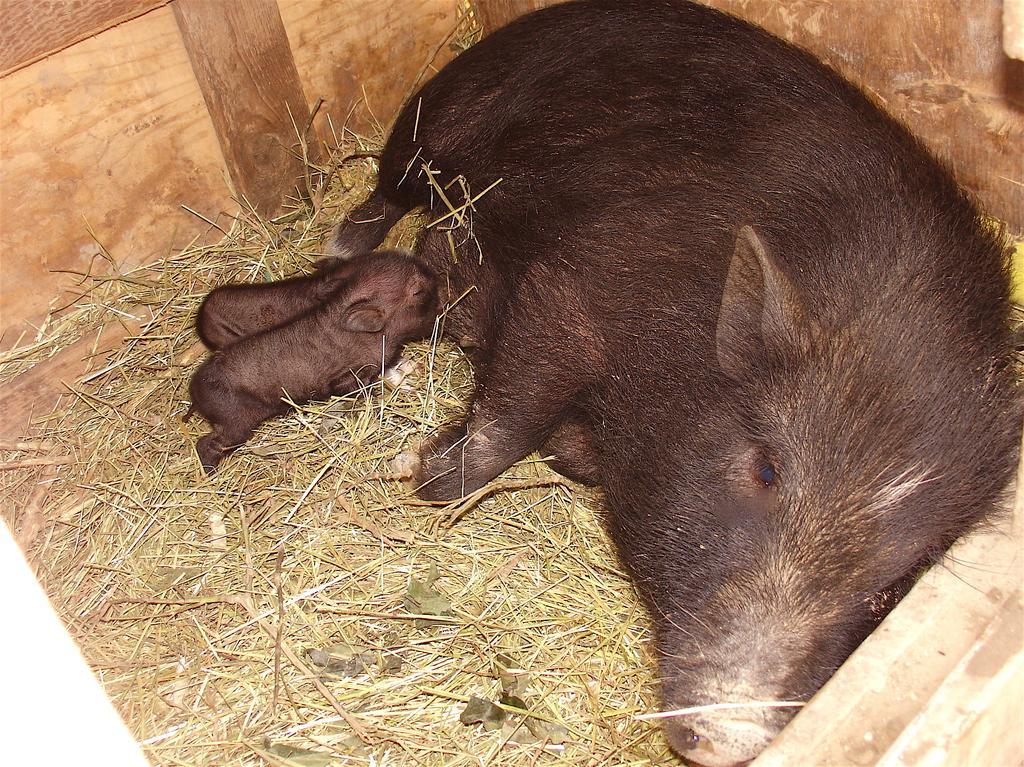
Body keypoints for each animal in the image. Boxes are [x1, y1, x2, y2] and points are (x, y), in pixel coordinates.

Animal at [190, 250, 438, 469]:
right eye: (417, 291)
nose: (442, 285)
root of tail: (194, 392)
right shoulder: (345, 377)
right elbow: (360, 389)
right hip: (234, 421)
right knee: (206, 443)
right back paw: (210, 471)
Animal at [323, 2, 1019, 761]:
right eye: (766, 469)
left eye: (896, 581)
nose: (727, 735)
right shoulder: (580, 279)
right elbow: (515, 409)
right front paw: (417, 473)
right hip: (436, 119)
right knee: (387, 191)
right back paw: (338, 250)